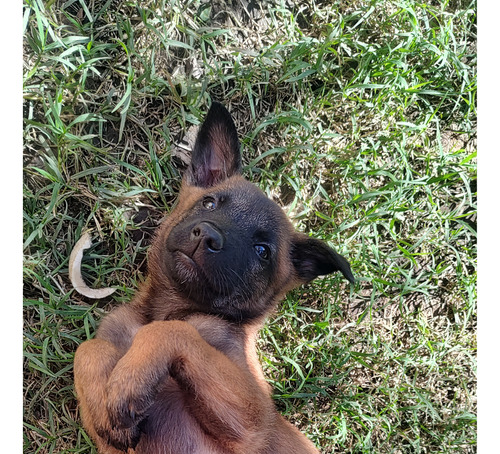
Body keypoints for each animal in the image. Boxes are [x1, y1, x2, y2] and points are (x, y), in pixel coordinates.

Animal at [75, 103, 356, 454]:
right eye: (209, 203)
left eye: (262, 250)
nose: (206, 235)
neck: (170, 307)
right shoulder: (108, 440)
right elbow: (88, 347)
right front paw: (105, 393)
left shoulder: (254, 420)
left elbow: (171, 331)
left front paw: (129, 382)